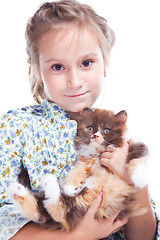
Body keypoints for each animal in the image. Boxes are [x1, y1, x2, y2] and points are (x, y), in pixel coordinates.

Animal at [7, 108, 148, 230]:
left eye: (106, 131)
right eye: (90, 128)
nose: (95, 136)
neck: (98, 153)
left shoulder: (134, 146)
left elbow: (137, 159)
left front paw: (139, 179)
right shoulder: (83, 162)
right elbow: (76, 174)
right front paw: (70, 187)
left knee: (52, 211)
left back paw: (27, 189)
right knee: (55, 211)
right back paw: (28, 187)